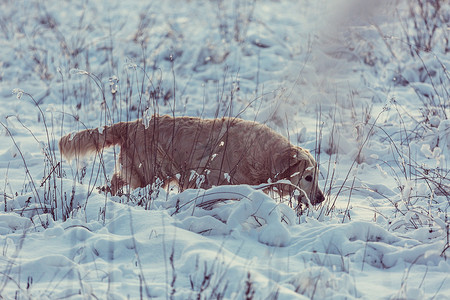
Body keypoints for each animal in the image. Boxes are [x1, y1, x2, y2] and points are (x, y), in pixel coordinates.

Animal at [59, 115, 326, 204]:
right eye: (308, 177)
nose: (322, 199)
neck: (261, 156)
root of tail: (132, 123)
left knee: (109, 186)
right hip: (147, 175)